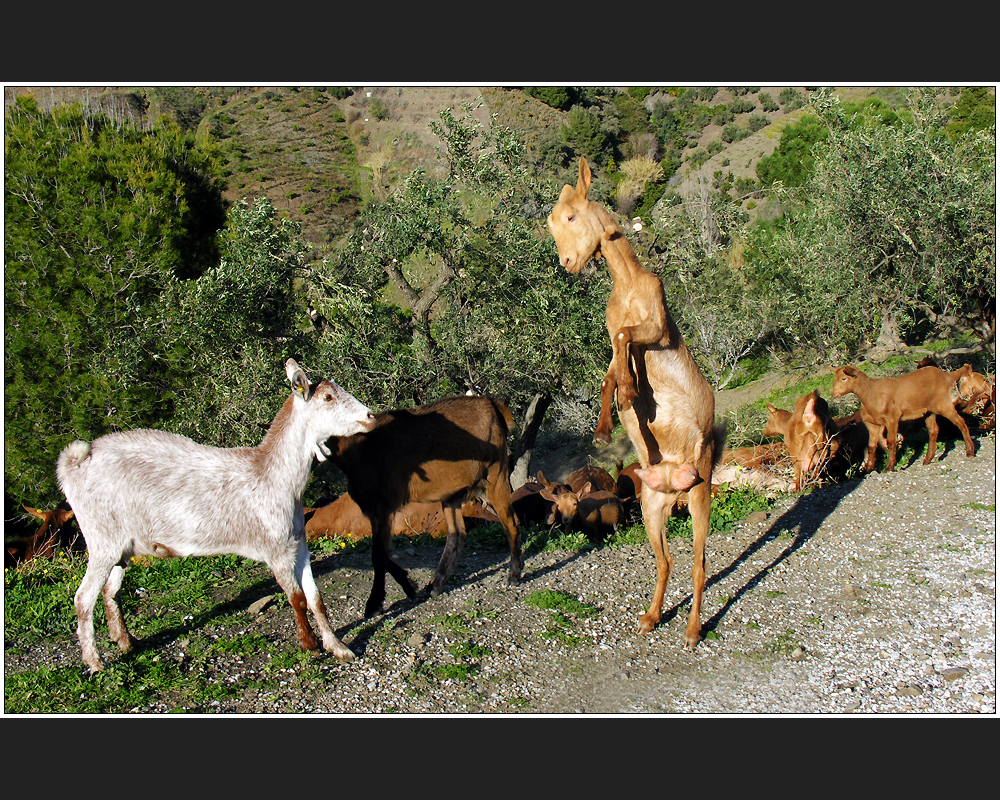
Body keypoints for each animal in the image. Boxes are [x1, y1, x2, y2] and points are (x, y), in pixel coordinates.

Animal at [59, 360, 378, 672]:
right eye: (328, 397)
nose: (370, 416)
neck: (273, 476)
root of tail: (73, 463)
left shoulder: (298, 546)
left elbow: (316, 598)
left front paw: (339, 647)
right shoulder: (276, 550)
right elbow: (297, 599)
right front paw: (309, 645)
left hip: (122, 546)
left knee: (110, 591)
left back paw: (126, 642)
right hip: (102, 540)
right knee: (83, 598)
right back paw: (95, 662)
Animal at [326, 396, 524, 616]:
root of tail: (494, 406)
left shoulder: (383, 508)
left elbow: (378, 554)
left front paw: (374, 604)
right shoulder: (376, 510)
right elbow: (380, 551)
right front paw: (409, 586)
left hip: (496, 477)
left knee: (511, 524)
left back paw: (514, 574)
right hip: (452, 494)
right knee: (457, 533)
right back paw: (436, 584)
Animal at [548, 158, 728, 648]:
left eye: (571, 216)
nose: (567, 263)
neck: (628, 283)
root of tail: (676, 487)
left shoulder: (657, 329)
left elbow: (629, 342)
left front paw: (630, 391)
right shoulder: (613, 340)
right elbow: (608, 373)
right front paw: (605, 425)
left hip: (702, 490)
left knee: (699, 564)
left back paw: (692, 630)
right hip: (650, 508)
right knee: (665, 560)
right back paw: (651, 617)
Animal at [828, 362, 976, 468]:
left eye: (844, 378)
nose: (833, 393)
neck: (871, 393)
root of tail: (946, 375)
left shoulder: (892, 418)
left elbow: (891, 441)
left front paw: (890, 466)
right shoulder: (872, 424)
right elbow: (871, 446)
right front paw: (869, 469)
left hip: (943, 404)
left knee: (960, 422)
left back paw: (970, 451)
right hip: (929, 411)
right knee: (933, 430)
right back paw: (928, 459)